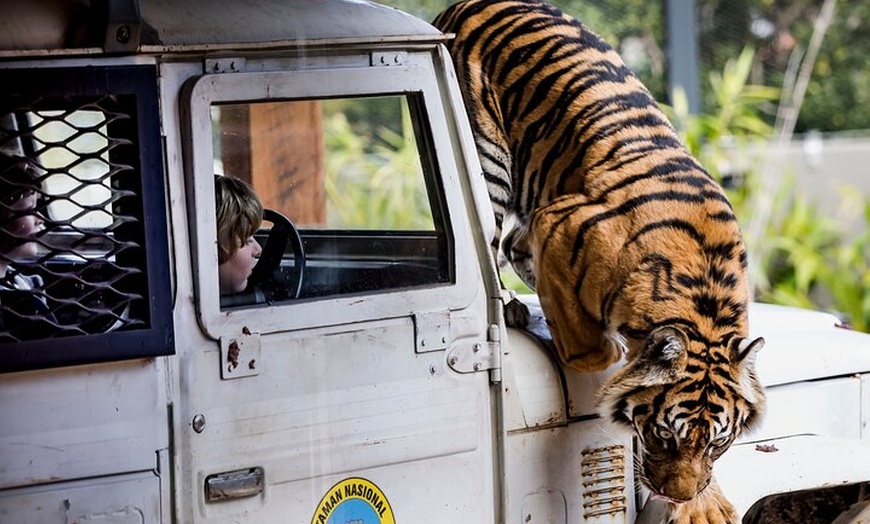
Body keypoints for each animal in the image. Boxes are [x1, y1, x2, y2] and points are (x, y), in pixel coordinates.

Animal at [432, 2, 768, 520]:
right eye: (665, 435)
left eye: (716, 444)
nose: (677, 496)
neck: (703, 300)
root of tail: (464, 6)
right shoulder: (558, 219)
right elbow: (595, 353)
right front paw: (606, 353)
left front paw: (703, 505)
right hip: (487, 160)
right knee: (492, 241)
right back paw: (510, 305)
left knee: (511, 244)